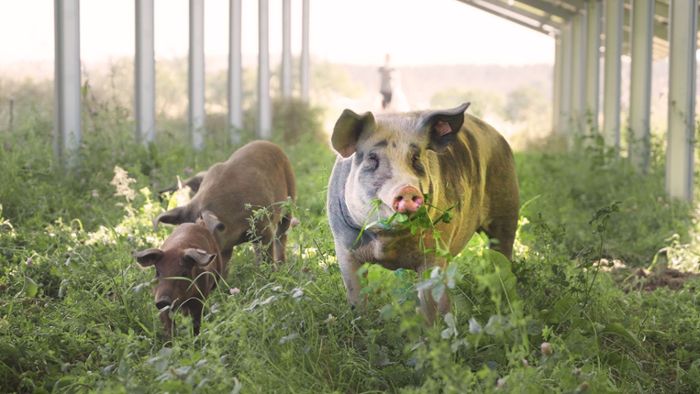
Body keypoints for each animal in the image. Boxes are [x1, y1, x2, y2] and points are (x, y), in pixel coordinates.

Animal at [153, 142, 296, 264]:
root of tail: (271, 144)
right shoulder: (225, 246)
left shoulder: (264, 228)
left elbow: (267, 254)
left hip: (289, 200)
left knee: (281, 235)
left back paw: (282, 264)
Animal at [326, 101, 516, 324]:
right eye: (372, 158)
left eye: (416, 158)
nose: (407, 190)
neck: (387, 242)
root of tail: (497, 135)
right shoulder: (344, 247)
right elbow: (355, 293)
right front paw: (361, 322)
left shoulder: (435, 250)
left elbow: (429, 298)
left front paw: (433, 327)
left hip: (507, 207)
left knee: (503, 249)